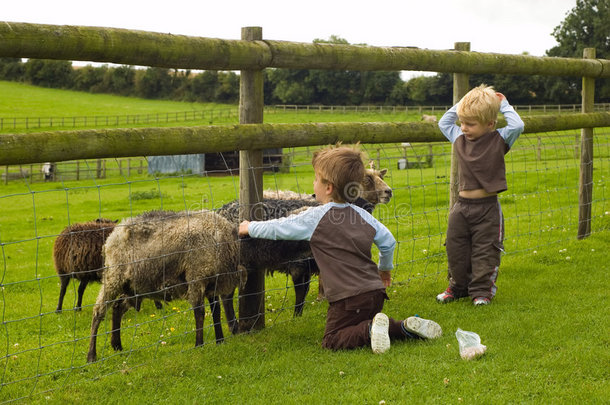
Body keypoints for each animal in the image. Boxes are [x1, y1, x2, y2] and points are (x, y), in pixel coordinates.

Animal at [86, 210, 247, 362]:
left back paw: (117, 345)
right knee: (98, 312)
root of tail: (112, 236)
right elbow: (199, 312)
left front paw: (220, 341)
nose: (235, 328)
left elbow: (216, 312)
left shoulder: (211, 285)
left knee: (118, 307)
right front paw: (199, 345)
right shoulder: (196, 278)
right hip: (113, 277)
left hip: (133, 287)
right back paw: (91, 355)